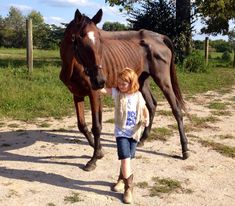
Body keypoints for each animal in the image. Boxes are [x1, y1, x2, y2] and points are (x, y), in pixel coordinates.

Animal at [60, 8, 189, 171]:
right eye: (80, 41)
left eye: (100, 40)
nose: (100, 80)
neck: (74, 66)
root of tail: (160, 37)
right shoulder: (77, 94)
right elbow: (82, 125)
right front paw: (98, 149)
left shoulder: (94, 94)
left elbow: (97, 126)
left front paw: (94, 158)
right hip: (141, 81)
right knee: (152, 105)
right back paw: (142, 139)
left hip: (163, 80)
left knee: (176, 110)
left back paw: (185, 149)